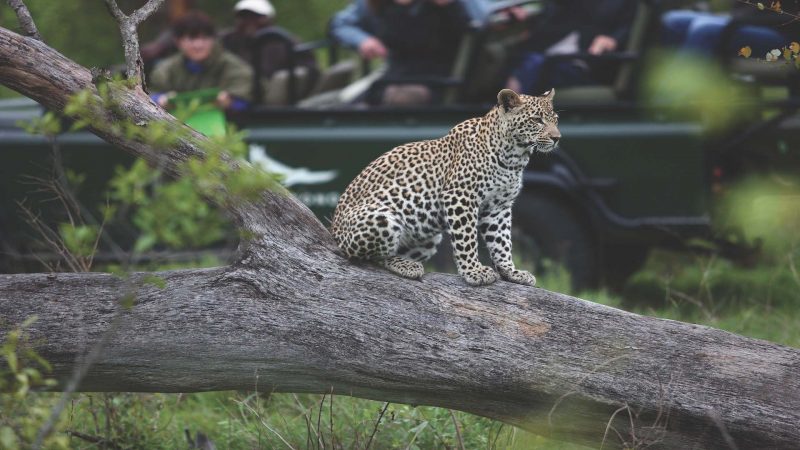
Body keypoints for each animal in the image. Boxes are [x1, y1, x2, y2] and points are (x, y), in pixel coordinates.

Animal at [328, 88, 560, 286]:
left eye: (555, 119)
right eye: (536, 120)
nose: (557, 138)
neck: (515, 157)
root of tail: (334, 233)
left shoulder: (499, 207)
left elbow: (502, 242)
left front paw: (511, 272)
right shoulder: (460, 196)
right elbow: (466, 238)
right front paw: (474, 271)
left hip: (428, 238)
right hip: (382, 218)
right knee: (371, 257)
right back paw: (407, 266)